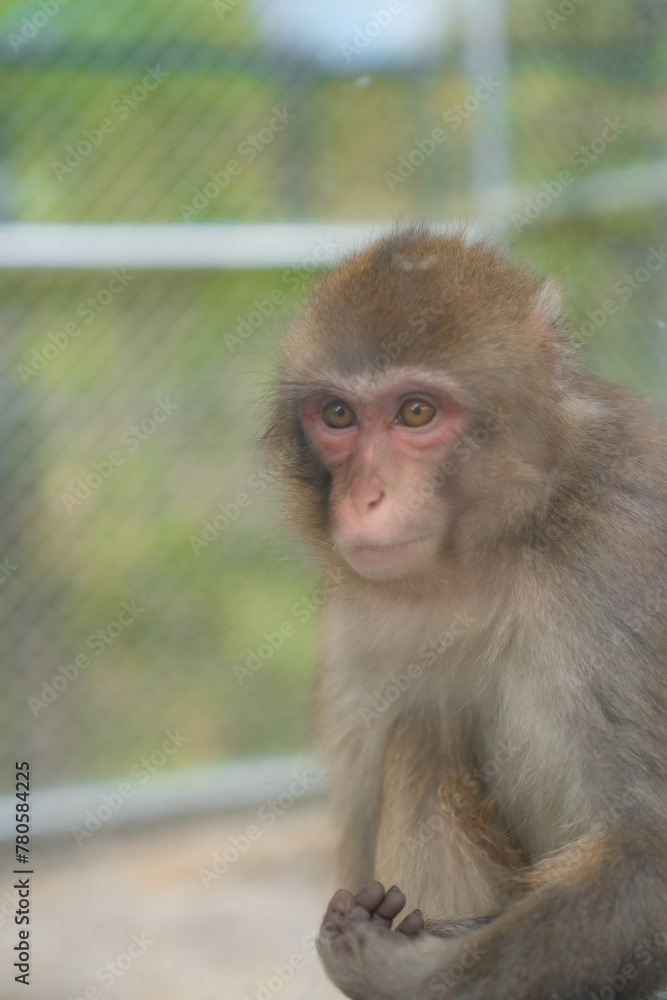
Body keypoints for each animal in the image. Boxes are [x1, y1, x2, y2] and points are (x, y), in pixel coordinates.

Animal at [265, 228, 667, 1000]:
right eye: (338, 416)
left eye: (416, 413)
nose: (365, 497)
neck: (492, 551)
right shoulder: (356, 619)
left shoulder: (623, 555)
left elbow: (647, 852)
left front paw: (406, 974)